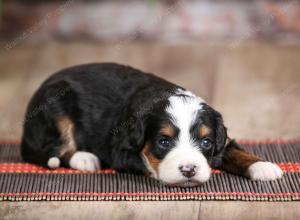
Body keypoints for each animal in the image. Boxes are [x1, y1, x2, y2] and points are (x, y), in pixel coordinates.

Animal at [21, 62, 284, 186]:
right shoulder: (121, 149)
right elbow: (146, 161)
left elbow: (234, 150)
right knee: (57, 147)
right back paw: (85, 159)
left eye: (206, 142)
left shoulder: (221, 138)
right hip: (54, 109)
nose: (189, 170)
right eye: (164, 142)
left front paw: (262, 166)